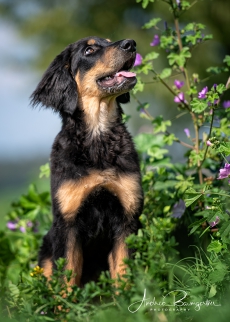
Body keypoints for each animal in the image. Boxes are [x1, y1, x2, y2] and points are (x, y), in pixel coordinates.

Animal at [30, 36, 142, 286]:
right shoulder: (67, 223)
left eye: (109, 41)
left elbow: (124, 273)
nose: (131, 44)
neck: (97, 138)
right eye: (89, 50)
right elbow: (67, 277)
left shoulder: (127, 219)